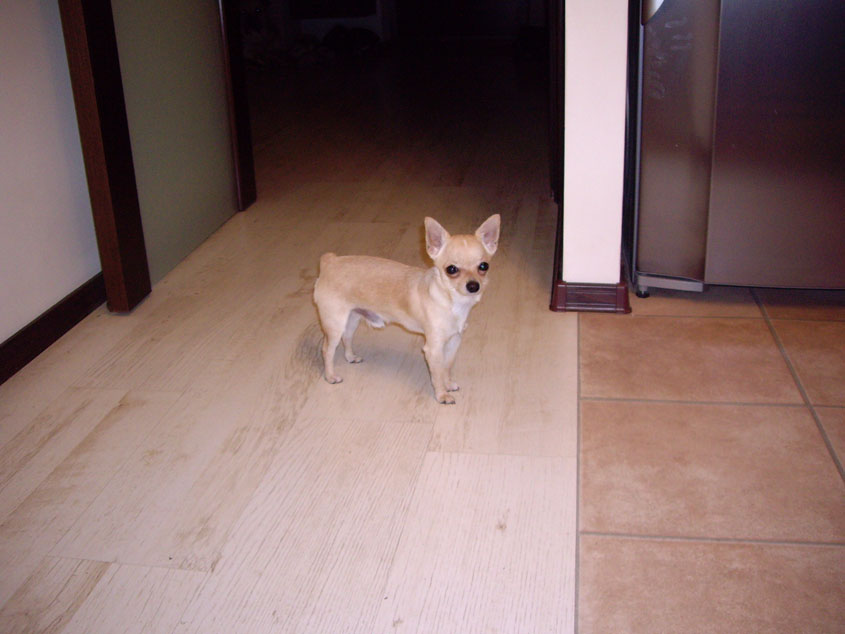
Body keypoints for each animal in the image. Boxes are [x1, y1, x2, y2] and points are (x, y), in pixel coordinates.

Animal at [313, 214, 501, 404]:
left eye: (484, 266)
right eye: (452, 269)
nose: (473, 286)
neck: (453, 302)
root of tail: (330, 262)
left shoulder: (454, 342)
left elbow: (447, 367)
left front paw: (448, 384)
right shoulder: (434, 349)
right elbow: (438, 373)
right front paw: (442, 395)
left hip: (351, 319)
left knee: (347, 338)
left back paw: (351, 357)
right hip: (335, 324)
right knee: (327, 350)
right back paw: (330, 376)